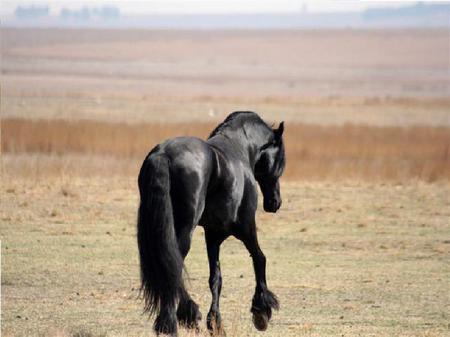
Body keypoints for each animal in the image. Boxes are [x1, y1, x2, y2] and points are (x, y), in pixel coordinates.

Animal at [137, 110, 284, 334]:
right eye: (281, 159)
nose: (275, 202)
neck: (239, 149)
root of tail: (163, 153)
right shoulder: (246, 228)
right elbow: (260, 259)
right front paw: (261, 311)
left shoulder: (213, 234)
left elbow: (216, 278)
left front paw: (215, 322)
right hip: (183, 230)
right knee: (174, 264)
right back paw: (175, 319)